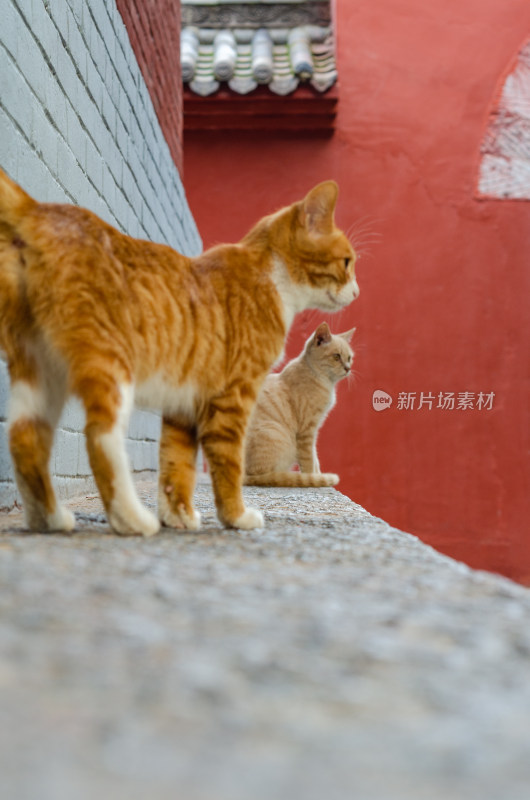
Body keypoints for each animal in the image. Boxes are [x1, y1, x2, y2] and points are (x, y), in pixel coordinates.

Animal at [244, 320, 354, 488]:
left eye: (349, 358)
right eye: (336, 356)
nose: (348, 368)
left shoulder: (314, 430)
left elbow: (315, 458)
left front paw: (317, 475)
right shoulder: (306, 430)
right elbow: (308, 460)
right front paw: (312, 478)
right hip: (275, 433)